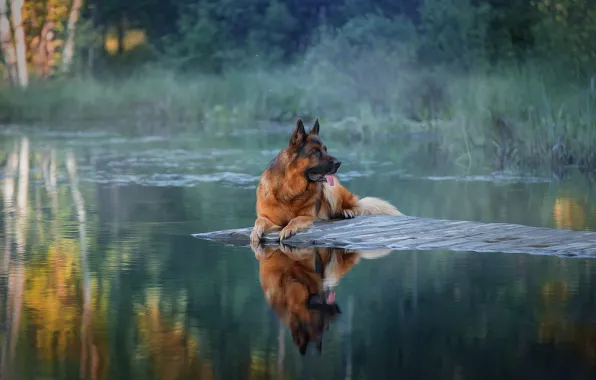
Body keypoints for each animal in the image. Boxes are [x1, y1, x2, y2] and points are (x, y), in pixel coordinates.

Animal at [249, 118, 402, 243]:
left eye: (325, 149)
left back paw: (346, 211)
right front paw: (255, 232)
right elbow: (258, 221)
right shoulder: (269, 219)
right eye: (315, 152)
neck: (290, 189)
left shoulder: (307, 216)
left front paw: (288, 229)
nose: (339, 163)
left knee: (349, 206)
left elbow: (295, 219)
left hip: (331, 189)